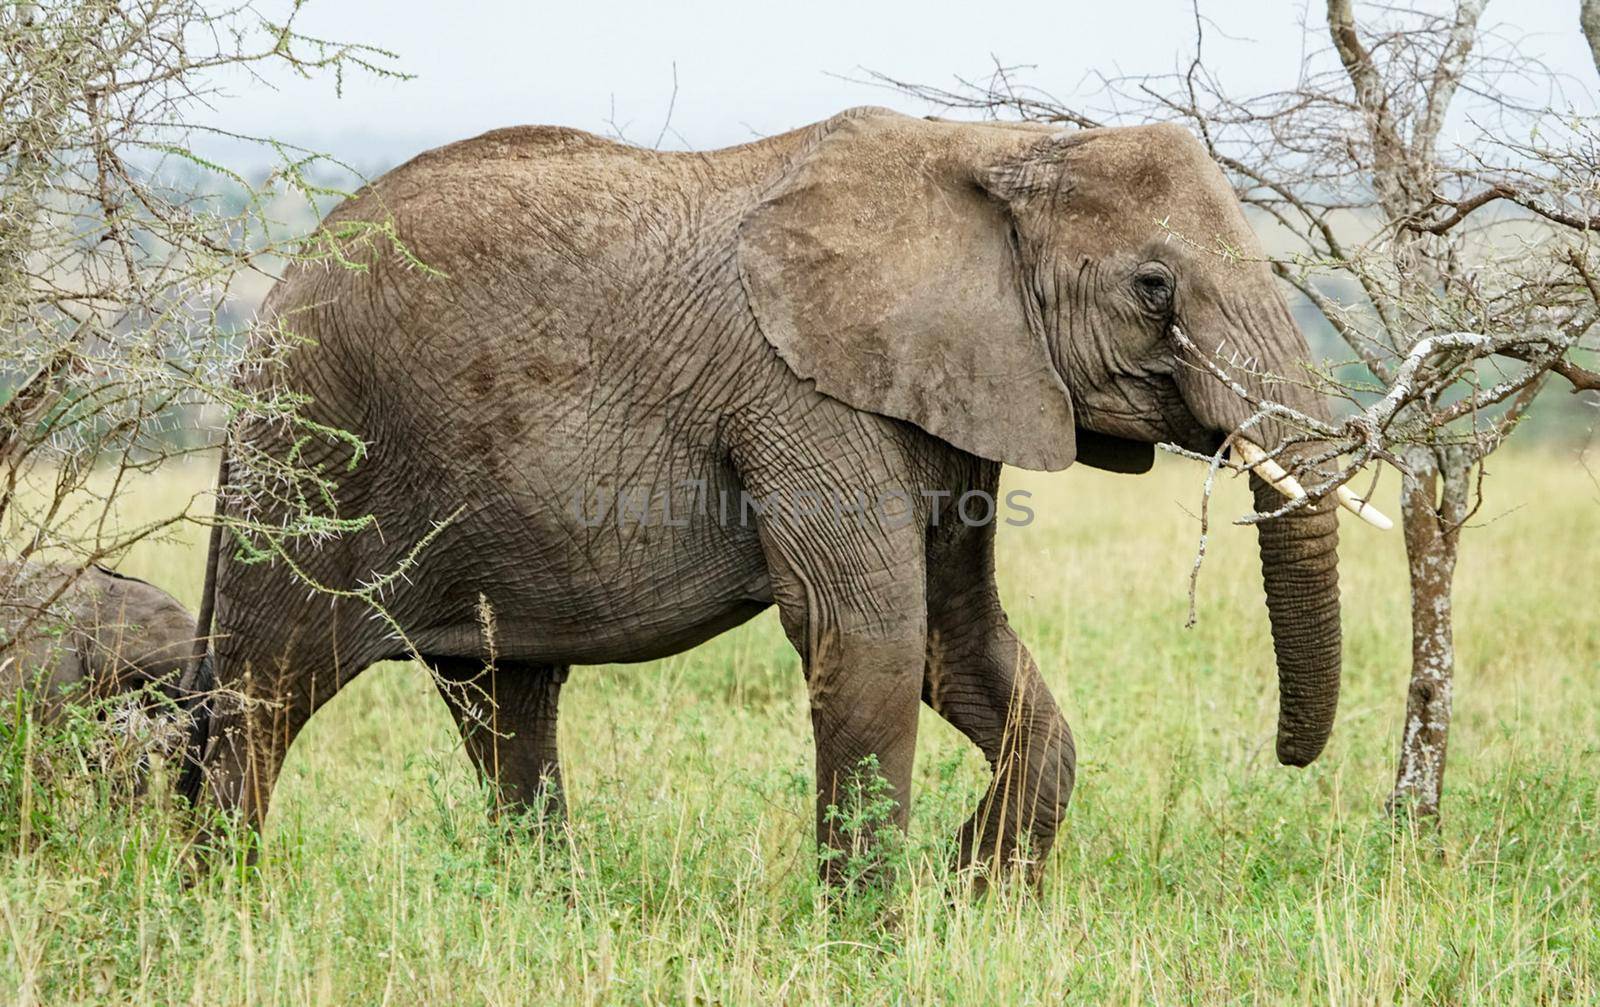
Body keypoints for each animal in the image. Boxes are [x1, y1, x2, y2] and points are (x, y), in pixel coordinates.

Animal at [181, 105, 1369, 883]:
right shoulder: (799, 396)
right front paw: (873, 934)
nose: (1285, 756)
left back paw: (548, 908)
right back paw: (219, 908)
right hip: (310, 446)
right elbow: (872, 634)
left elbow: (961, 637)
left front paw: (973, 893)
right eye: (1153, 286)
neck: (994, 148)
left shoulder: (956, 389)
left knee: (507, 703)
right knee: (264, 690)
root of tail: (268, 306)